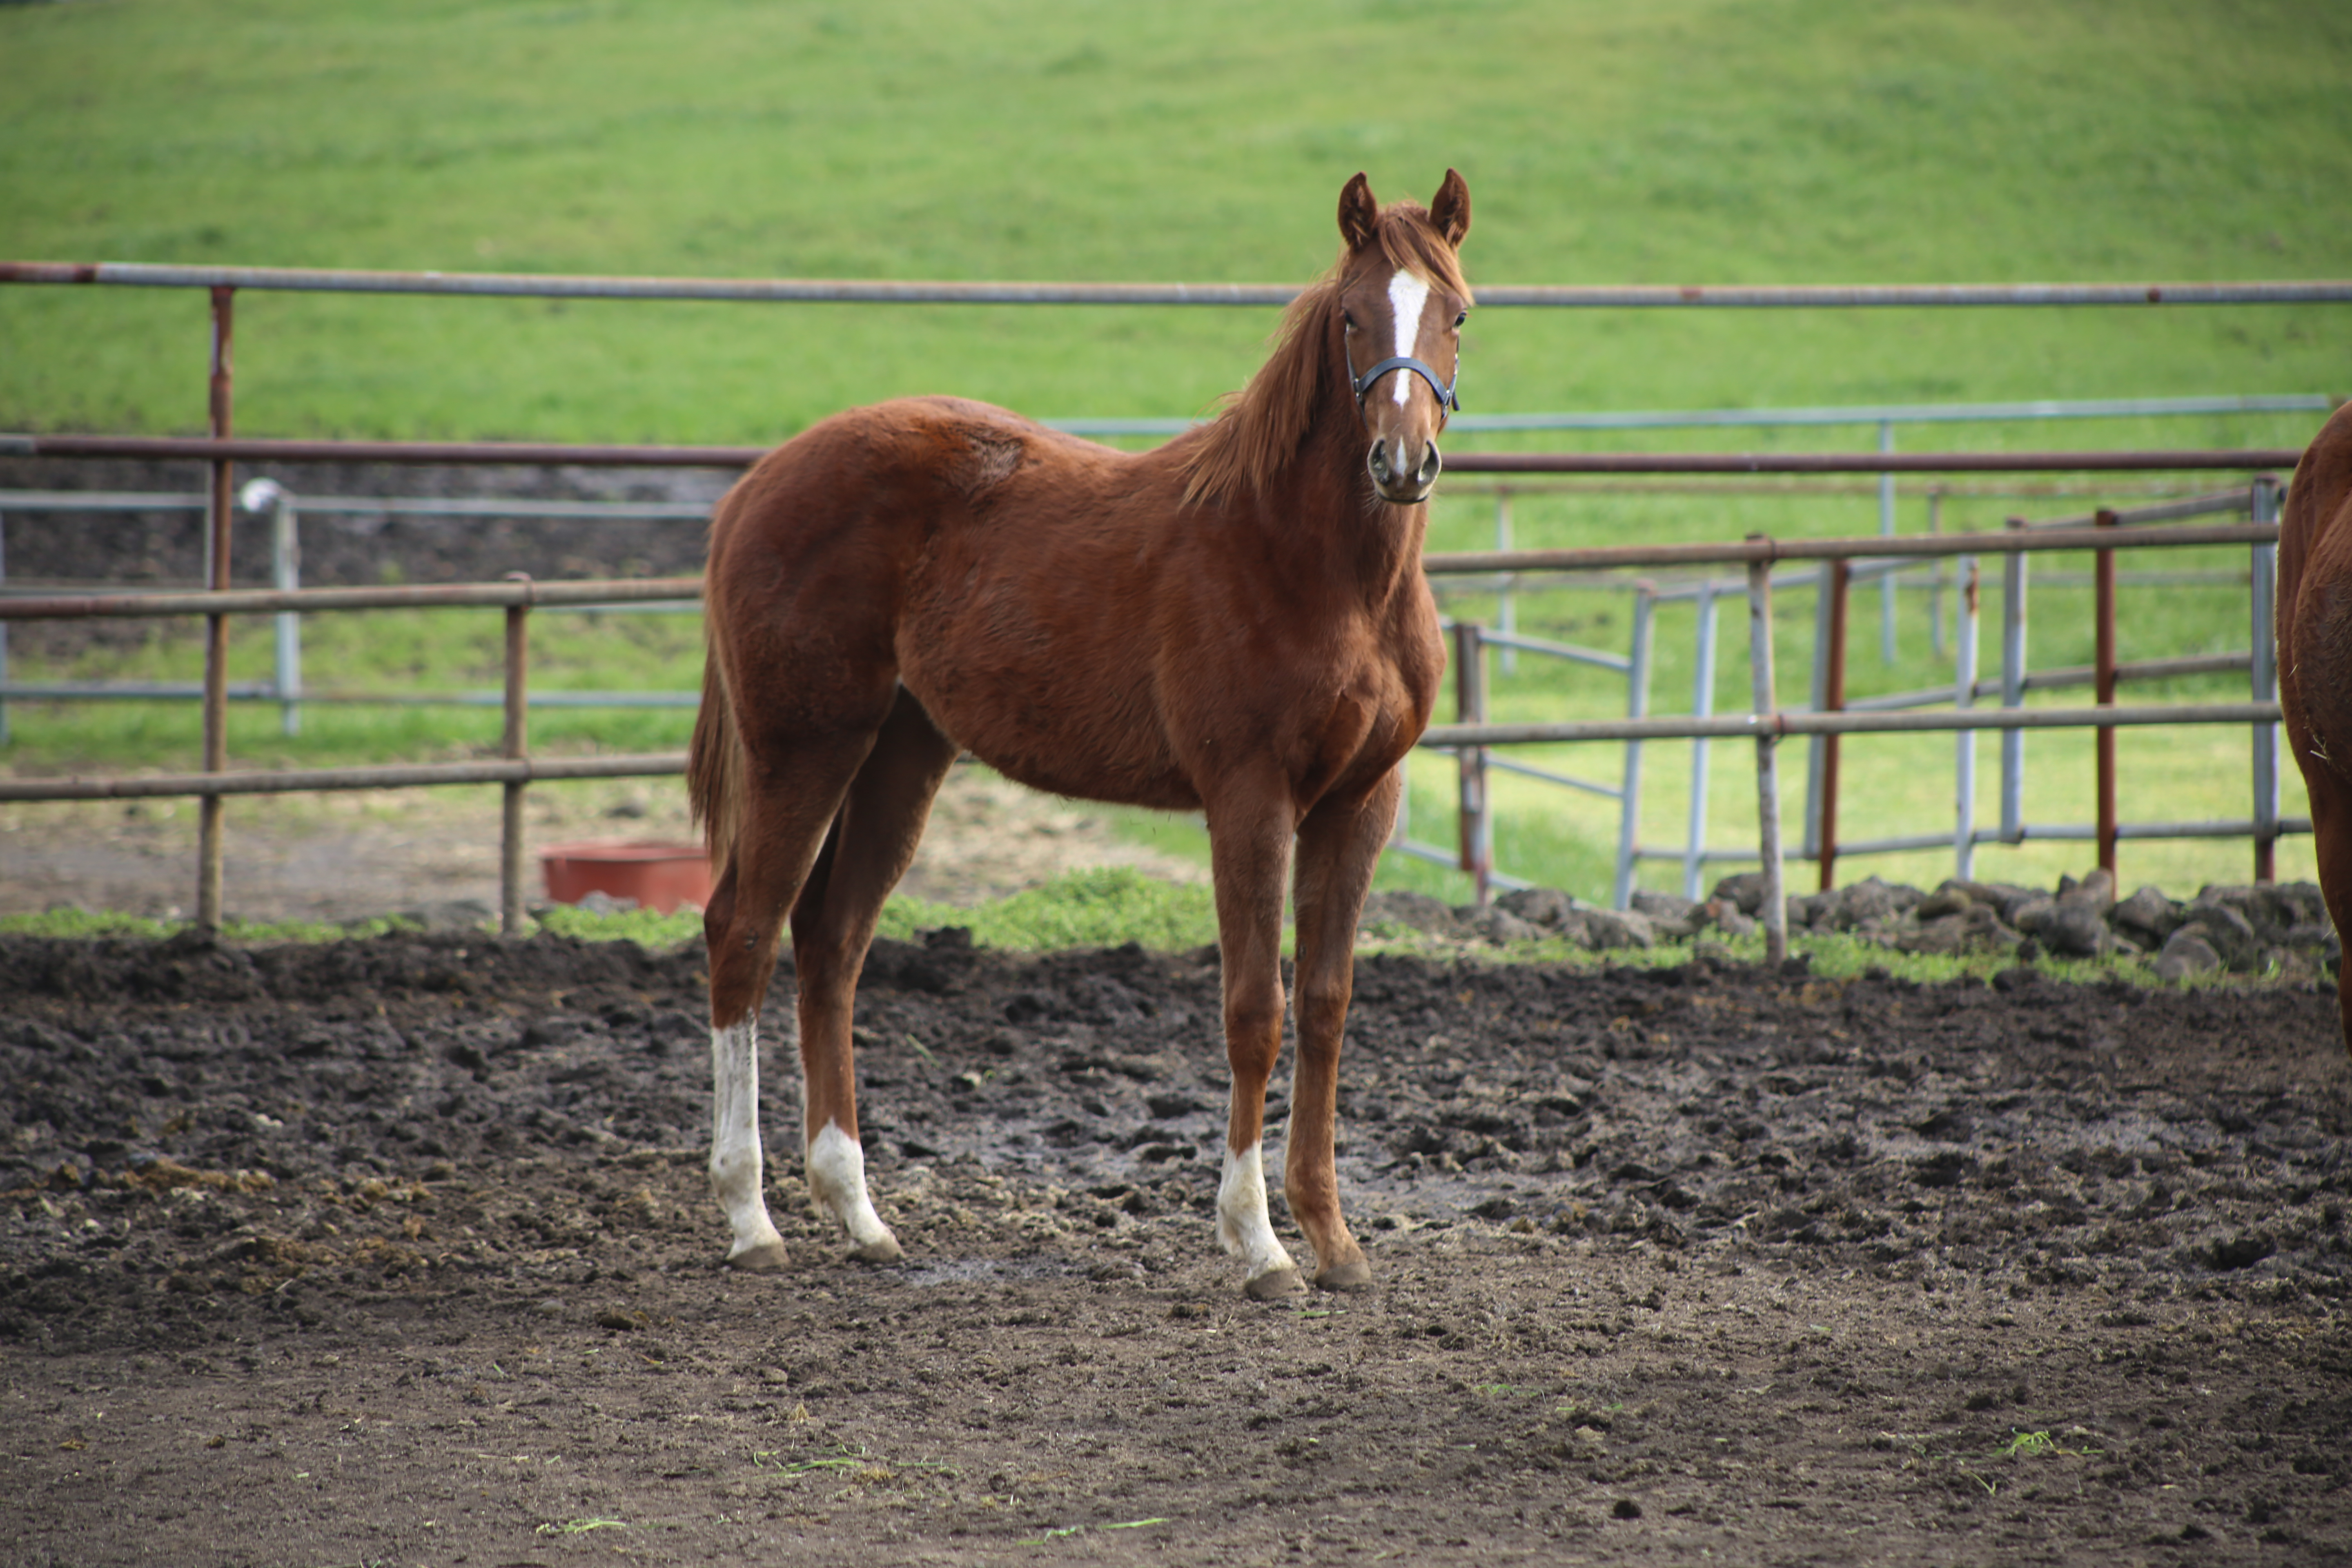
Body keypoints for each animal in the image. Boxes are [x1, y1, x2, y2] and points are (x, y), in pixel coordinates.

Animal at [686, 172, 1477, 1297]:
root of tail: (753, 487)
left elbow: (1324, 1006)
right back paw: (752, 1219)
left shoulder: (1359, 801)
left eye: (1456, 314)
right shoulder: (1248, 797)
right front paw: (1258, 1243)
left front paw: (1332, 1238)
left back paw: (859, 1214)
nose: (1402, 463)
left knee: (831, 943)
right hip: (802, 747)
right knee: (743, 934)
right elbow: (1254, 1010)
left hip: (901, 756)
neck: (1313, 567)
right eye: (1351, 317)